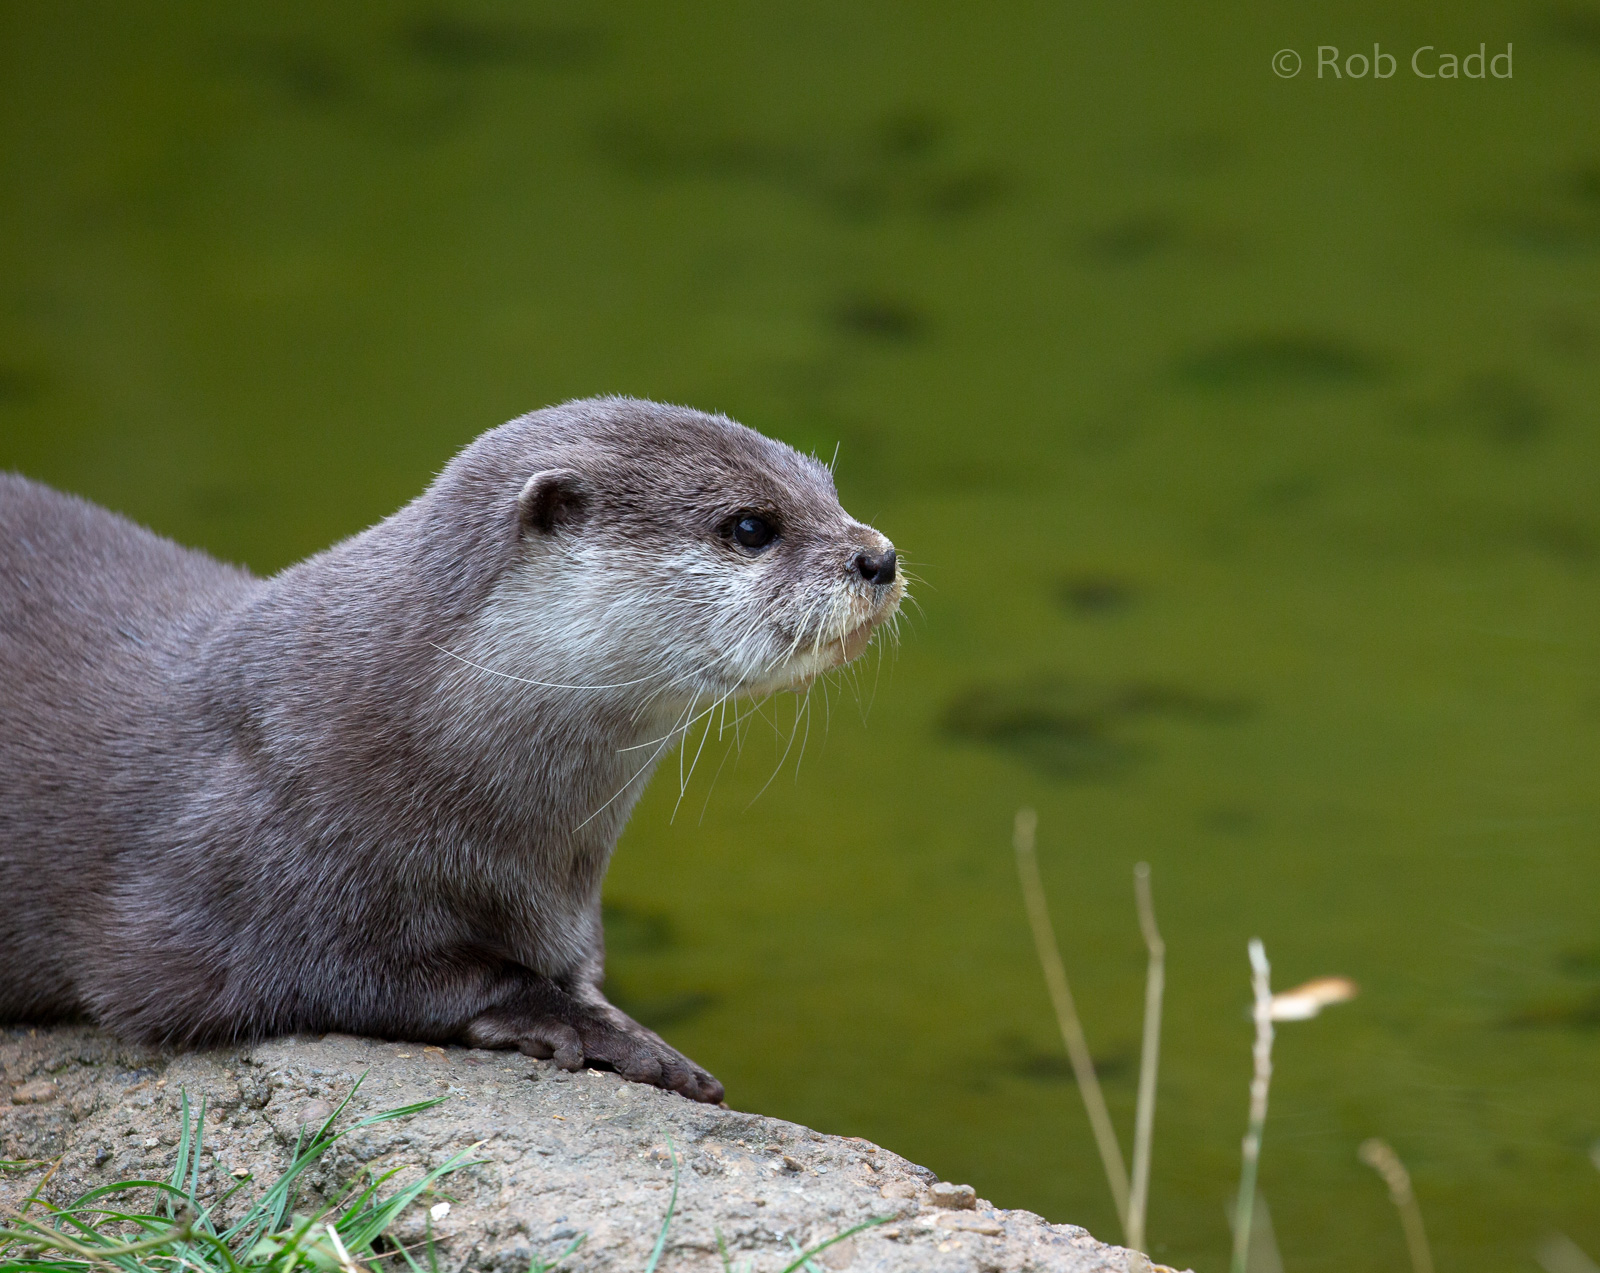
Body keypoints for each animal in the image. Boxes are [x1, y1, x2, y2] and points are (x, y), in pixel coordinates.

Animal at [0, 397, 903, 1104]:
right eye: (750, 526)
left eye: (827, 490)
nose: (879, 555)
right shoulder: (222, 885)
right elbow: (362, 975)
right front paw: (588, 1030)